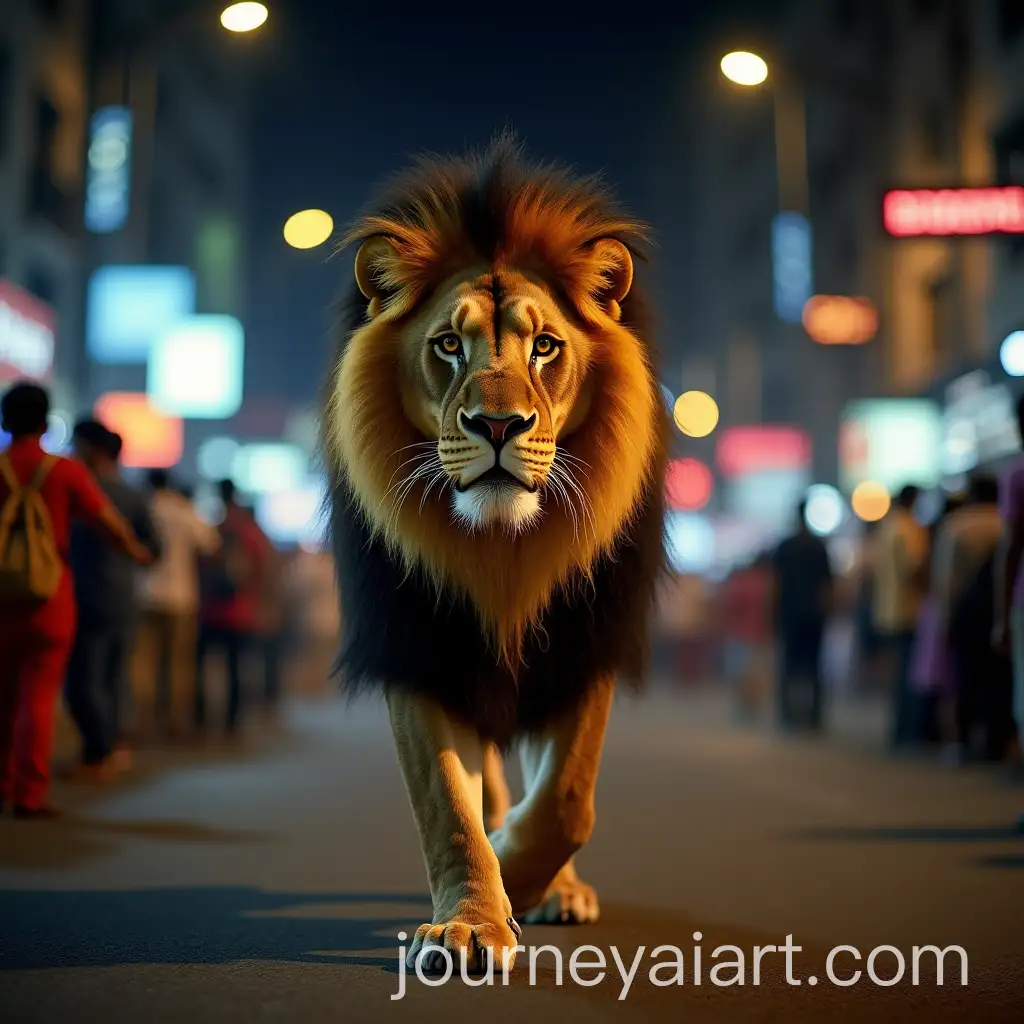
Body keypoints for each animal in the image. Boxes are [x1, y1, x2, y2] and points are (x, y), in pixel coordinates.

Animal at [324, 136, 668, 974]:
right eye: (449, 345)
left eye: (545, 347)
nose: (500, 425)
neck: (504, 552)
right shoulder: (418, 646)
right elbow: (450, 805)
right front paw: (474, 919)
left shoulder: (583, 641)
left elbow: (567, 802)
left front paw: (518, 873)